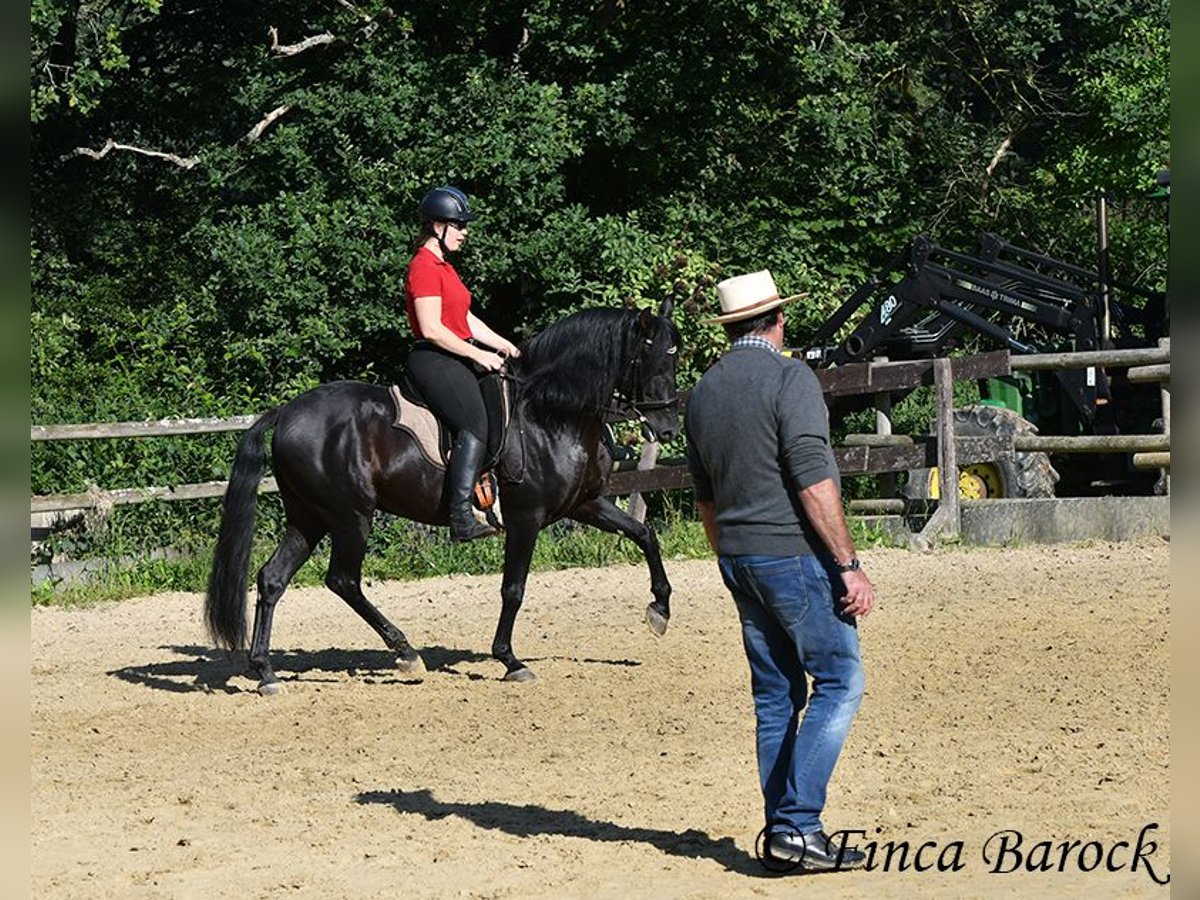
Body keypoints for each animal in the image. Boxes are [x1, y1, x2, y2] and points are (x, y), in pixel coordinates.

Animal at [205, 300, 681, 693]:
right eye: (652, 360)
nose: (669, 428)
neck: (551, 414)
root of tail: (287, 412)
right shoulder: (526, 518)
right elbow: (514, 588)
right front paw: (509, 660)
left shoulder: (585, 504)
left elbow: (645, 534)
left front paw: (659, 609)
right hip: (350, 516)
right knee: (343, 580)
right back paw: (405, 652)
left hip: (310, 517)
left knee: (272, 578)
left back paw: (266, 672)